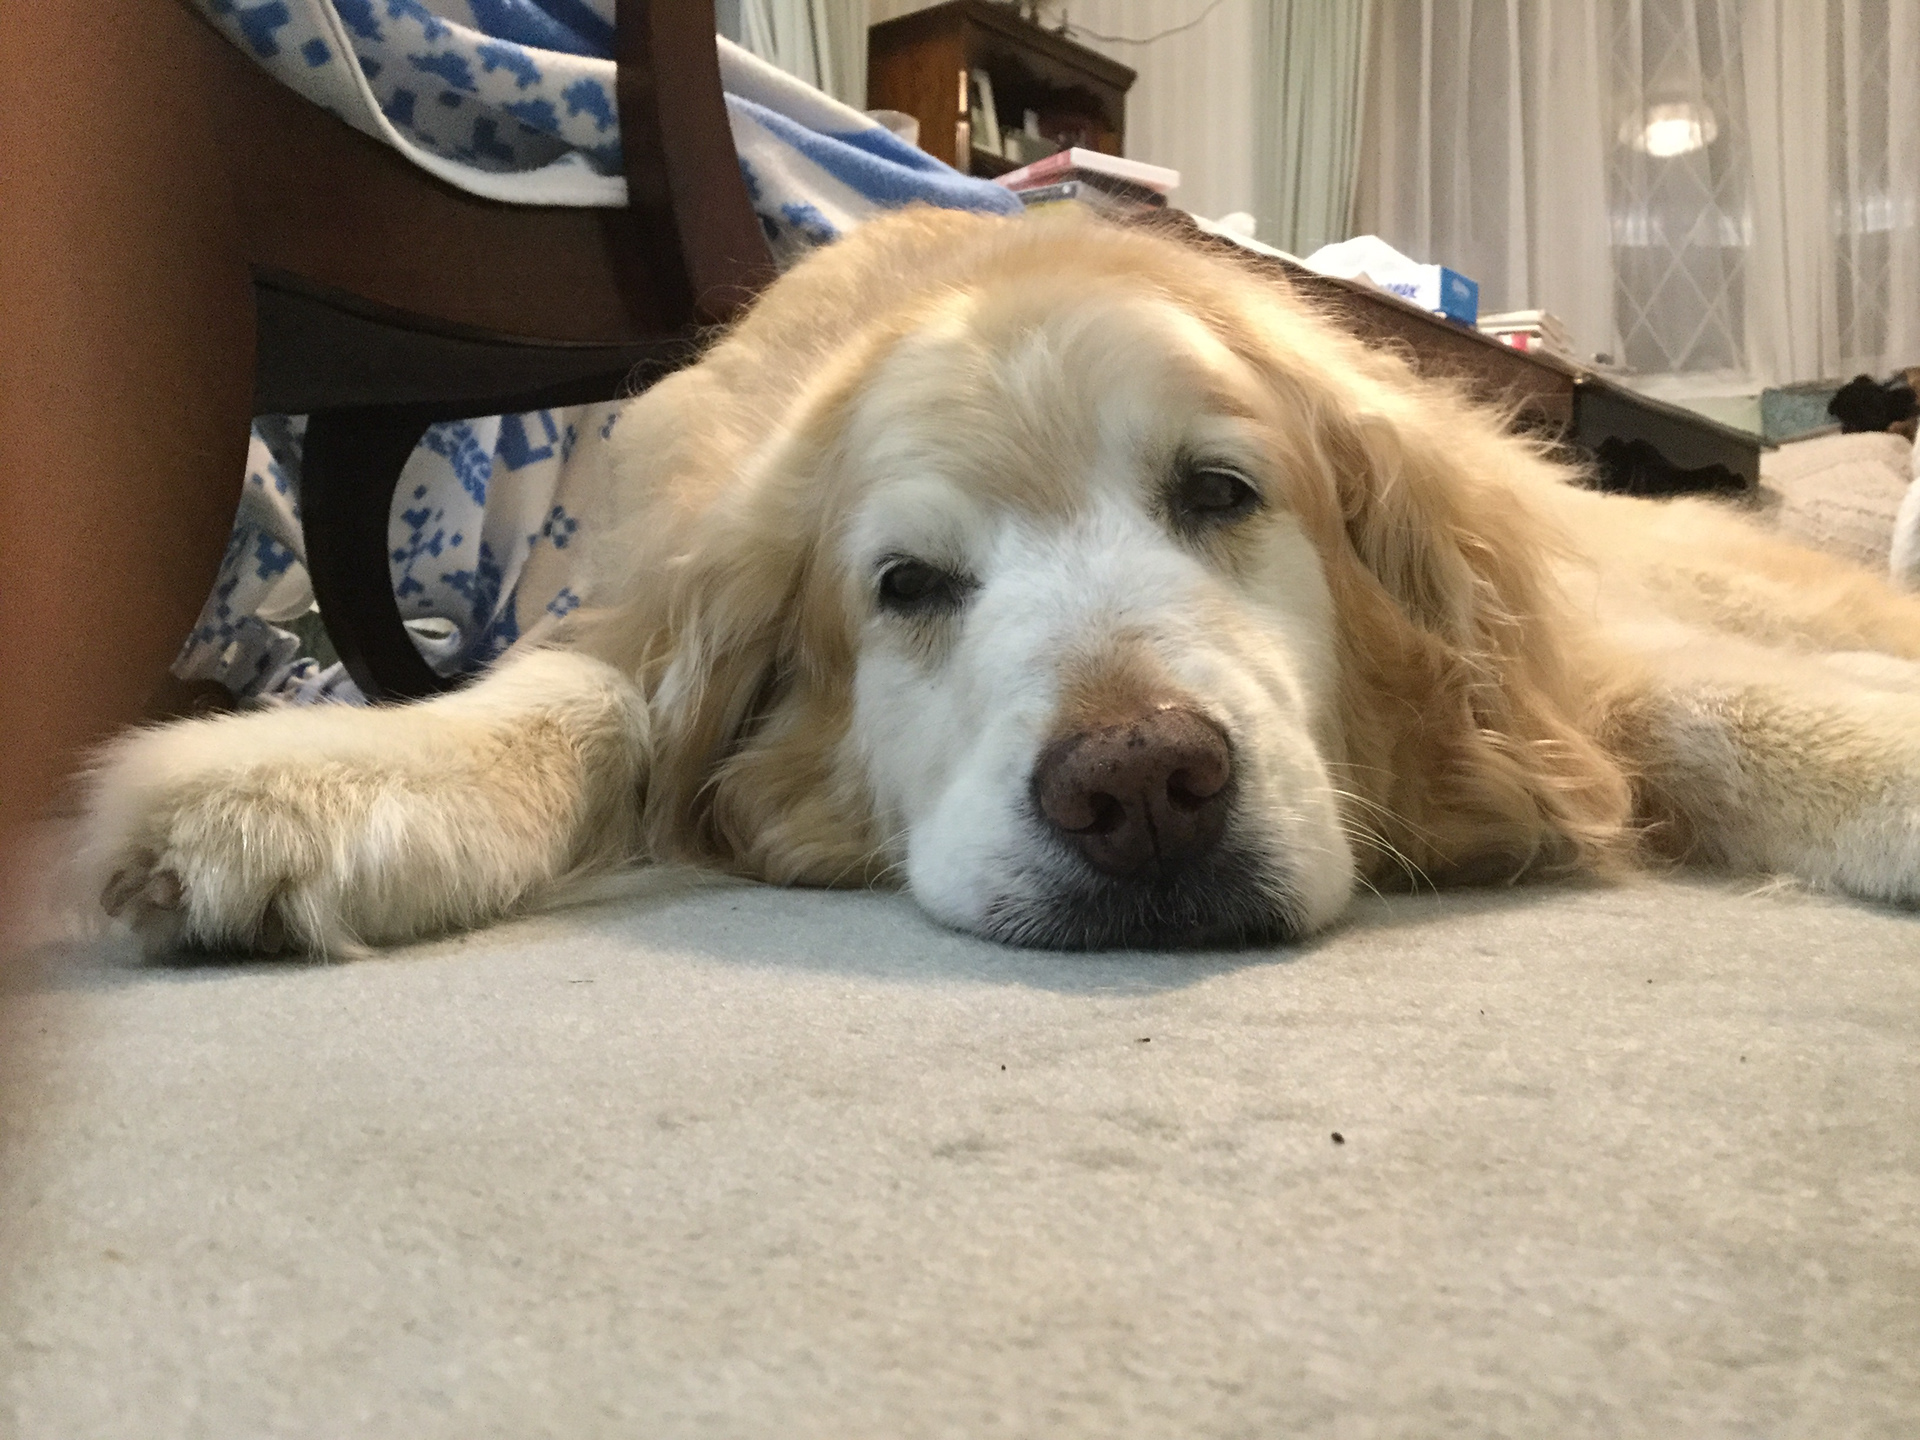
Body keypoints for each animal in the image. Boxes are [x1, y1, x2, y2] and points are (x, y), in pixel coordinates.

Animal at [83, 207, 1920, 954]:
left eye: (1218, 494)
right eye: (907, 584)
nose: (1145, 788)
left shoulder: (1549, 662)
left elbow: (1680, 703)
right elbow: (591, 694)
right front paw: (323, 773)